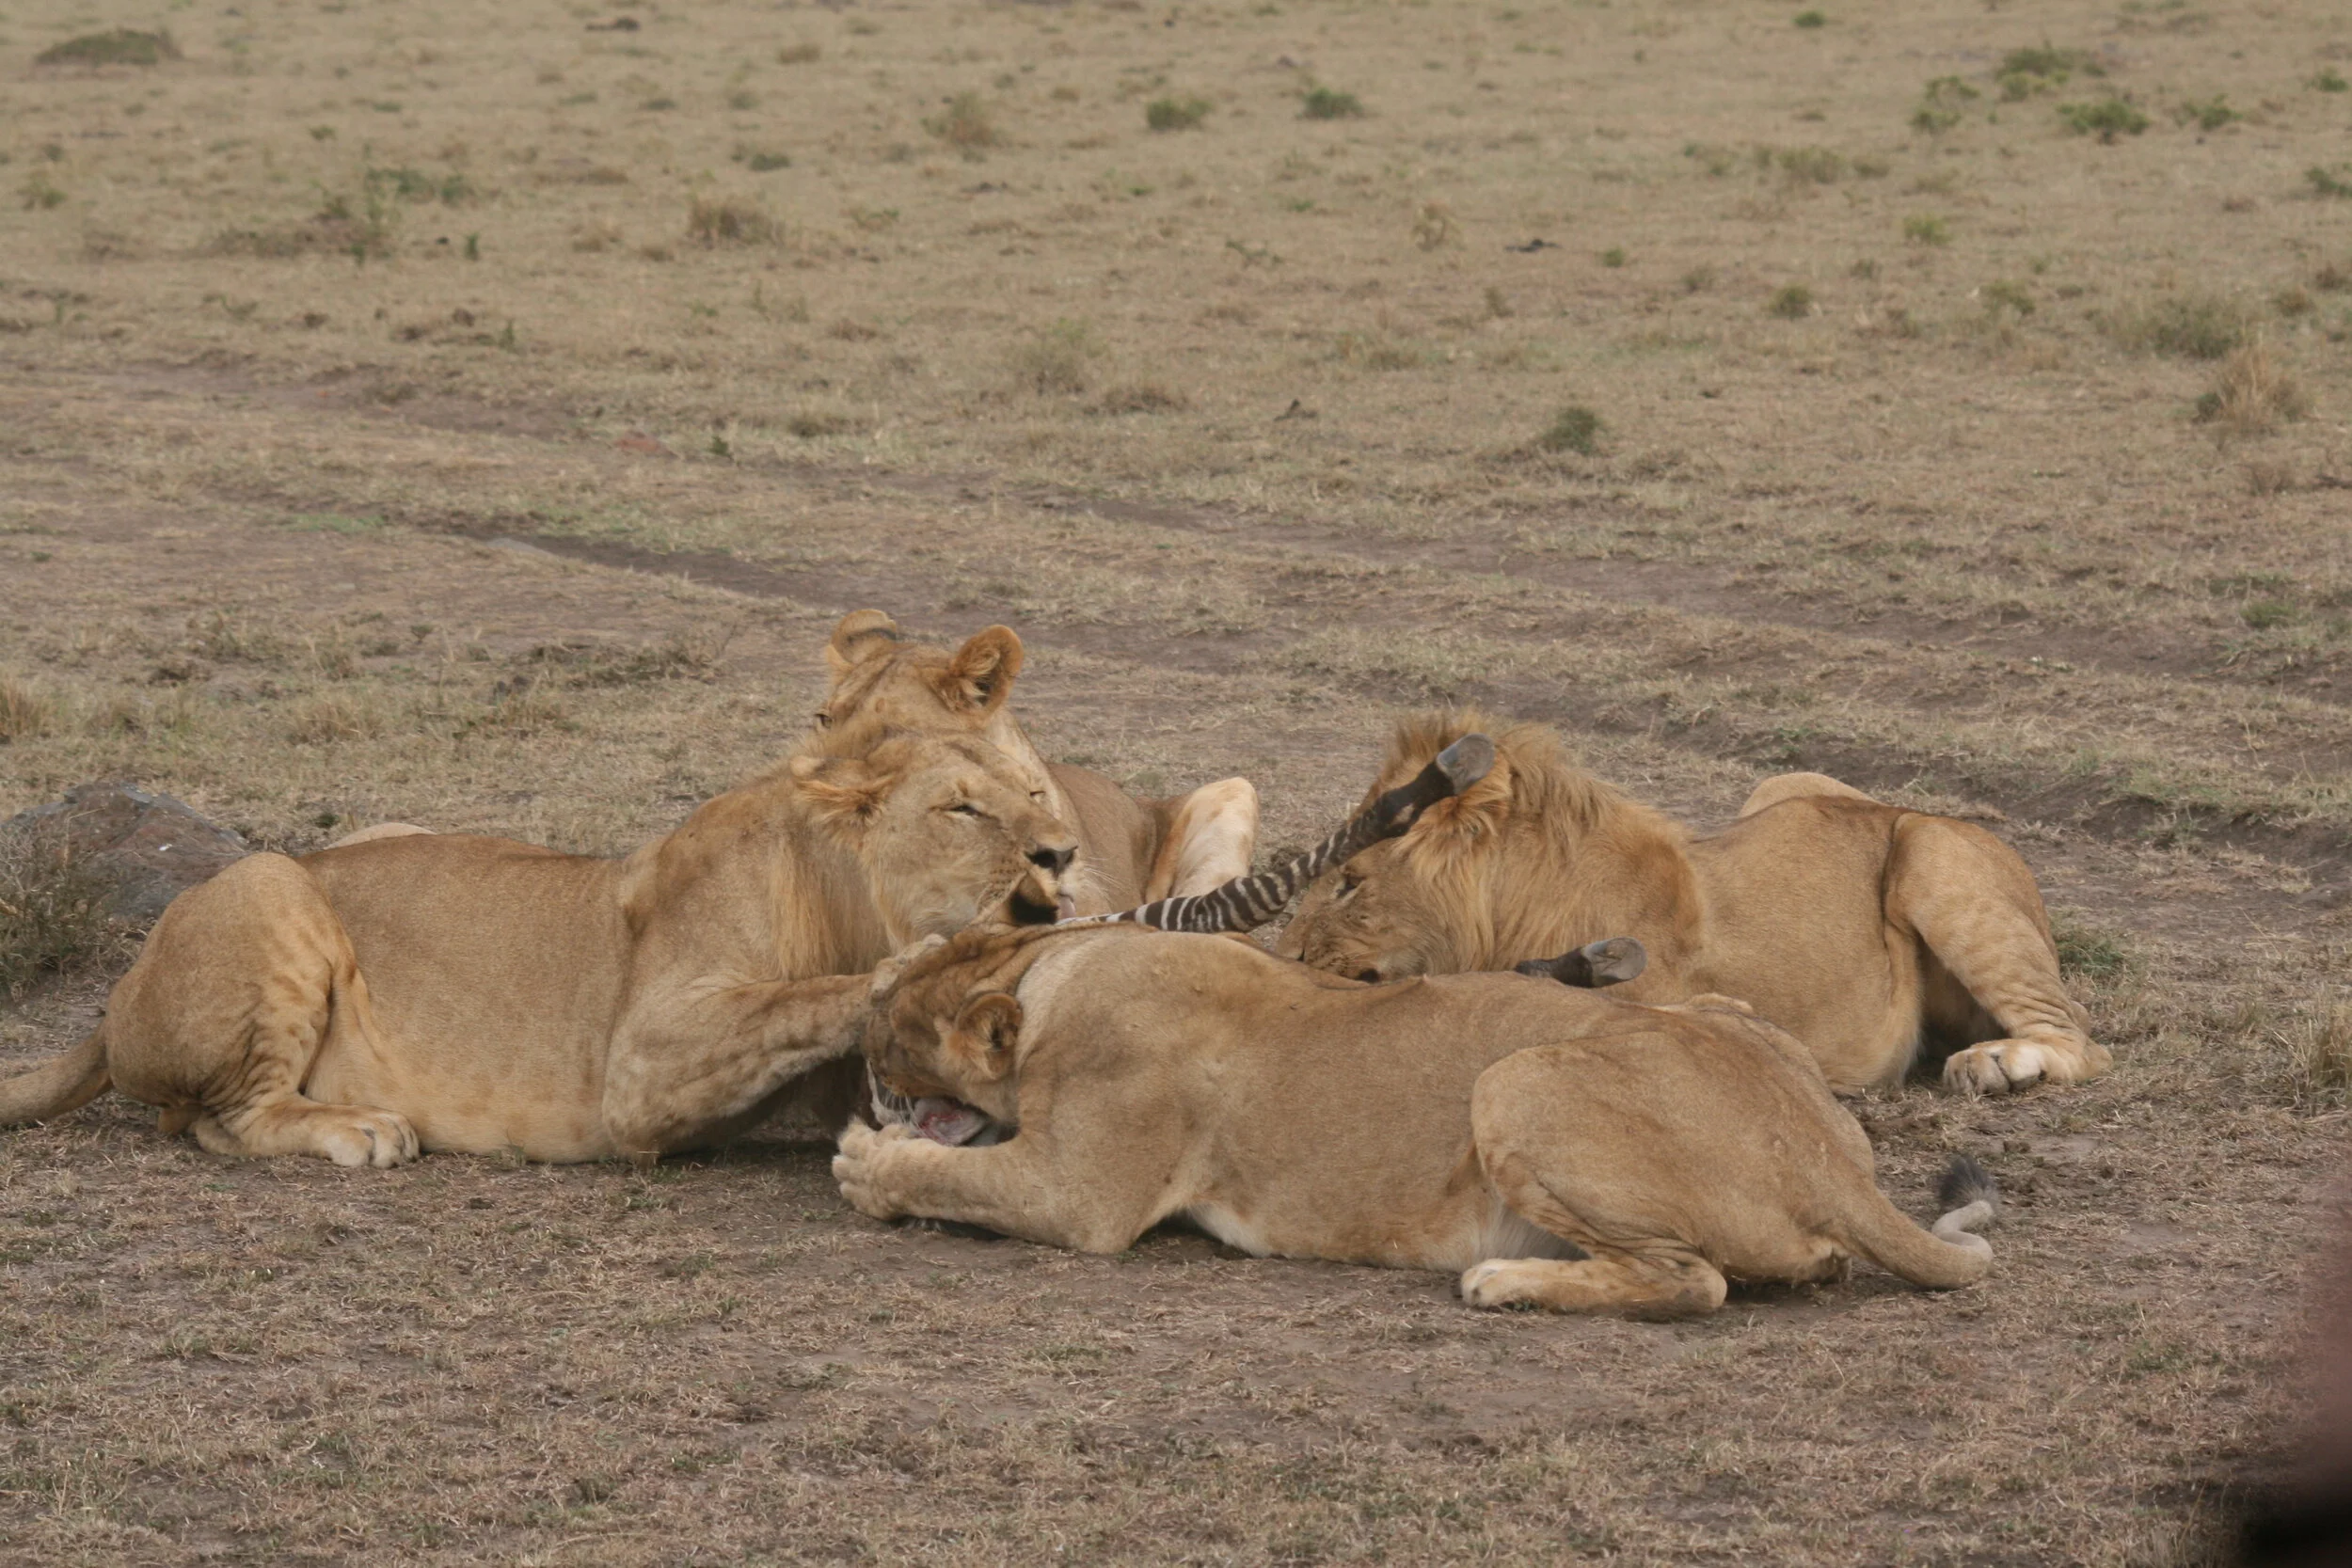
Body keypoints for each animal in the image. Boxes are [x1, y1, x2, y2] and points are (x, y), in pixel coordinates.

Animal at [0, 728, 1081, 1167]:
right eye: (962, 807)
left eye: (1036, 790)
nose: (1061, 851)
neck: (848, 898)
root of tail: (115, 1001)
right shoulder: (639, 1068)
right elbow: (803, 997)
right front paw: (928, 963)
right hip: (270, 880)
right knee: (217, 1117)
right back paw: (360, 1129)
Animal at [833, 924, 2000, 1317]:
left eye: (884, 1049)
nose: (863, 1086)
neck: (1046, 961)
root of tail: (1832, 1160)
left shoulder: (1077, 1196)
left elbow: (946, 1174)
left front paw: (863, 1161)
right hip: (1722, 1009)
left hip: (1513, 1078)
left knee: (1692, 1281)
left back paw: (1505, 1282)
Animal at [1276, 711, 2109, 1096]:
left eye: (1350, 881)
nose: (1287, 956)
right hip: (1784, 786)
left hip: (1932, 855)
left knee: (2080, 1034)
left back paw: (1997, 1062)